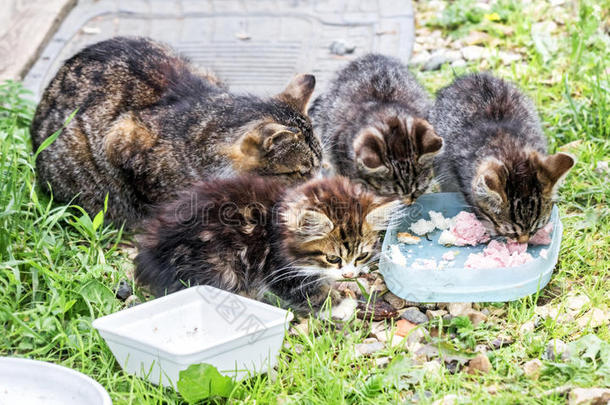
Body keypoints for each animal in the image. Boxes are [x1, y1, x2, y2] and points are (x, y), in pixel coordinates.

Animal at [135, 174, 396, 312]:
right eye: (333, 258)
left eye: (361, 256)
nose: (350, 275)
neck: (275, 224)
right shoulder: (278, 268)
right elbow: (310, 292)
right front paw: (341, 306)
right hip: (219, 265)